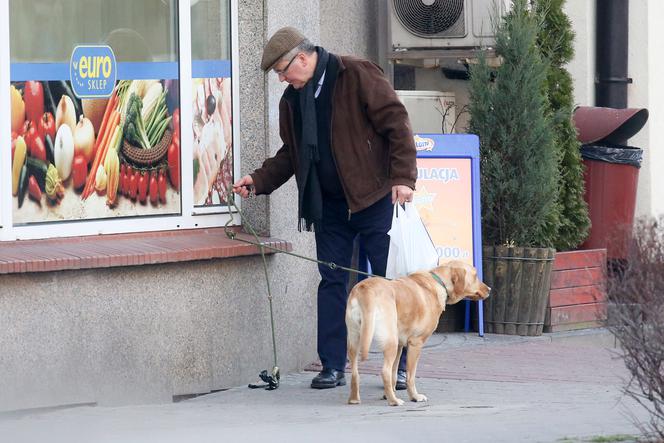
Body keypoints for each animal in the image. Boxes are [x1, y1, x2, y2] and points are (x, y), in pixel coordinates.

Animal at [344, 262, 490, 408]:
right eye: (475, 275)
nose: (489, 289)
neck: (439, 283)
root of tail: (365, 288)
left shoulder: (399, 346)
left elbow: (394, 374)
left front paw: (387, 393)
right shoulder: (416, 343)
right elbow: (410, 376)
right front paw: (414, 396)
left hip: (355, 340)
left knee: (355, 372)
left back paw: (354, 399)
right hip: (390, 342)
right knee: (384, 371)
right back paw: (394, 401)